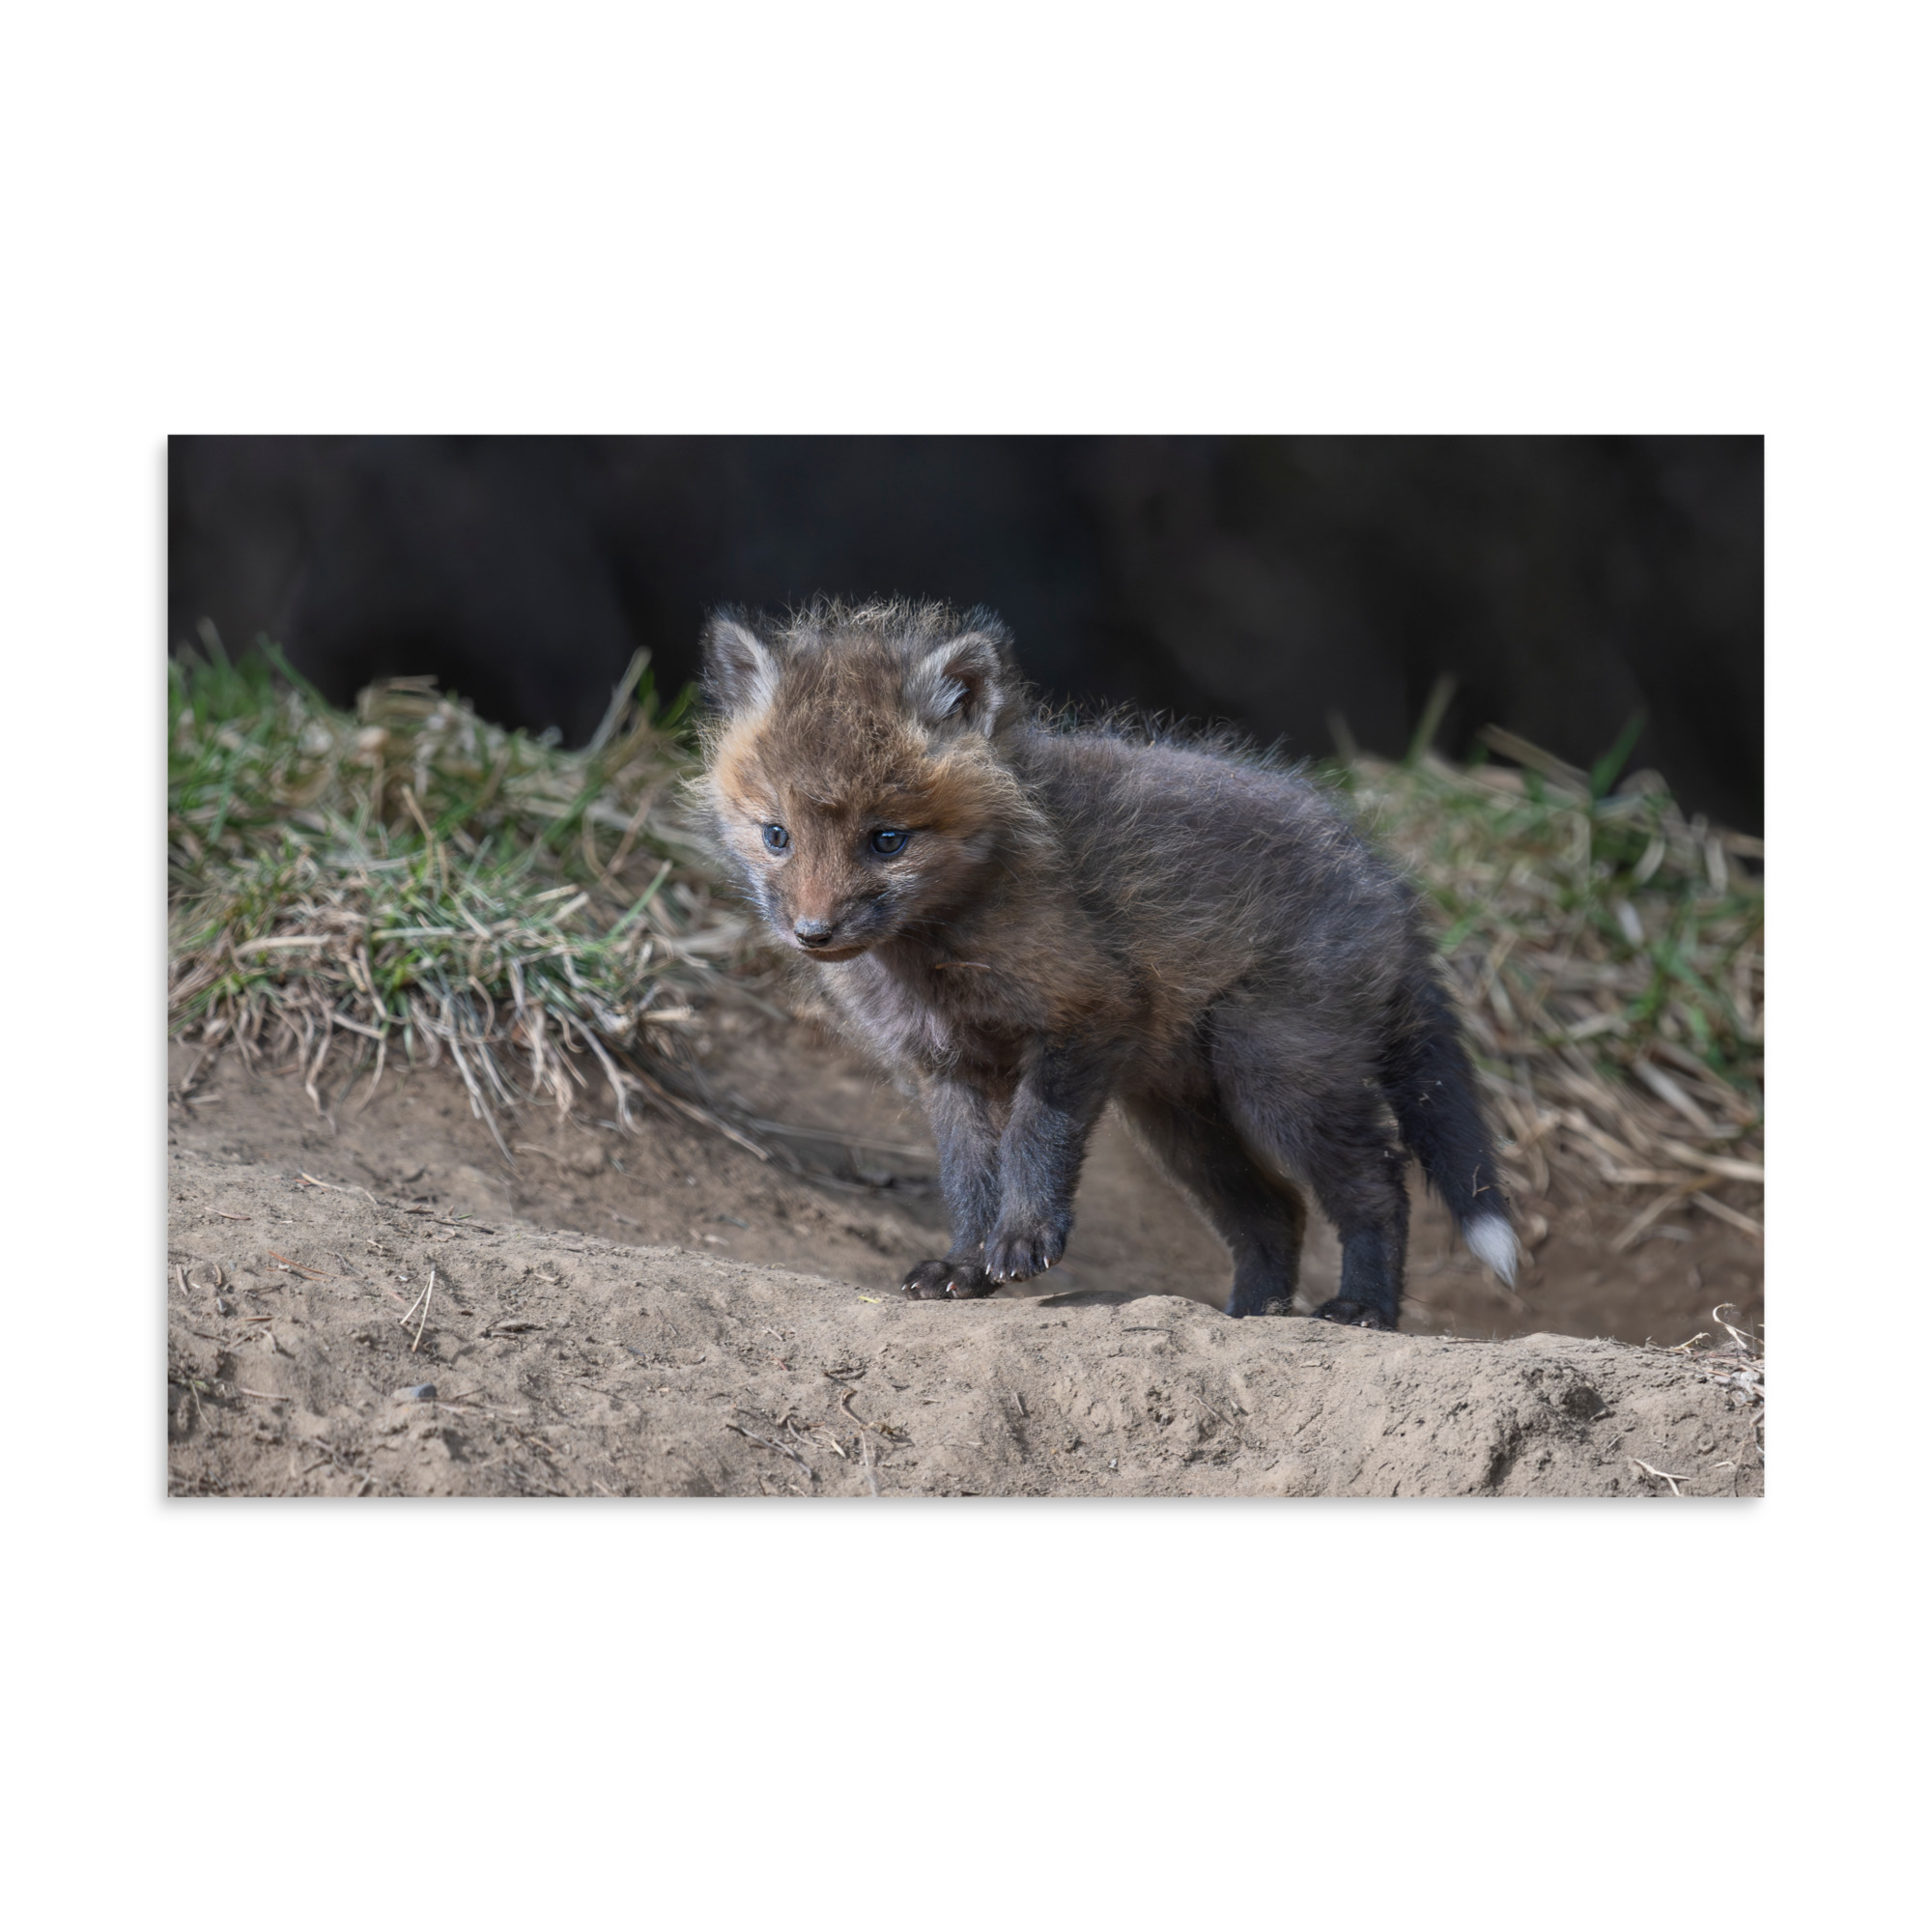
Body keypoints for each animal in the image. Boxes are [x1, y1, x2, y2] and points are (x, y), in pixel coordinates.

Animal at [697, 596, 1517, 1328]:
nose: (813, 933)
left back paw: (1363, 1308)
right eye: (776, 835)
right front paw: (965, 1265)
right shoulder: (948, 1067)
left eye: (887, 840)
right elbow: (968, 1178)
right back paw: (1251, 1315)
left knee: (1378, 1184)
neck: (937, 955)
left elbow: (1033, 1140)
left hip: (1276, 1076)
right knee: (1275, 1212)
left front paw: (1023, 1239)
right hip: (1181, 1119)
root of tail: (1387, 880)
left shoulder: (1086, 1014)